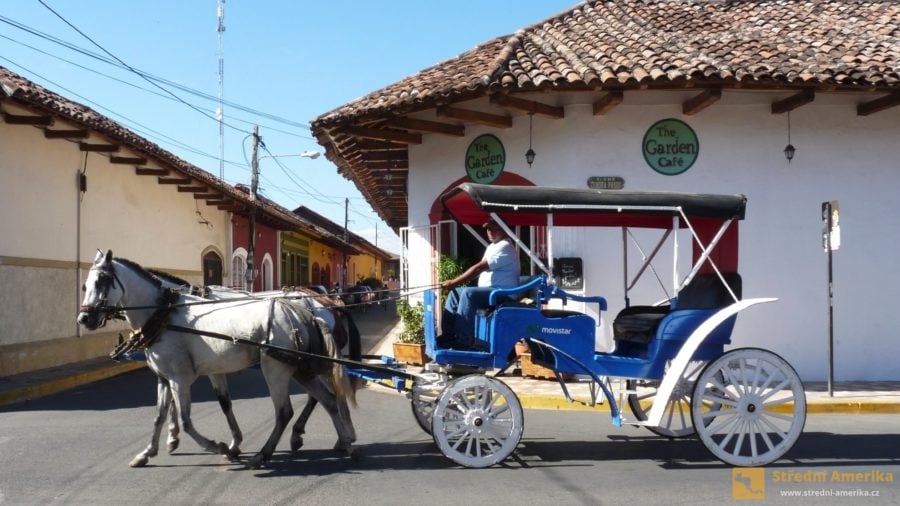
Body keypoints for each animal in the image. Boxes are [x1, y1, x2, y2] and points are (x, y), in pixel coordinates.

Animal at [77, 251, 356, 468]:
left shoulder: (180, 378)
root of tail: (311, 309)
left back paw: (266, 453)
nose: (84, 319)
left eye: (103, 280)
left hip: (275, 369)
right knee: (328, 399)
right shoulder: (167, 377)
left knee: (286, 410)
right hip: (301, 368)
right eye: (85, 285)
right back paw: (343, 442)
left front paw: (217, 446)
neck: (163, 314)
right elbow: (163, 415)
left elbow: (186, 420)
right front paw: (148, 452)